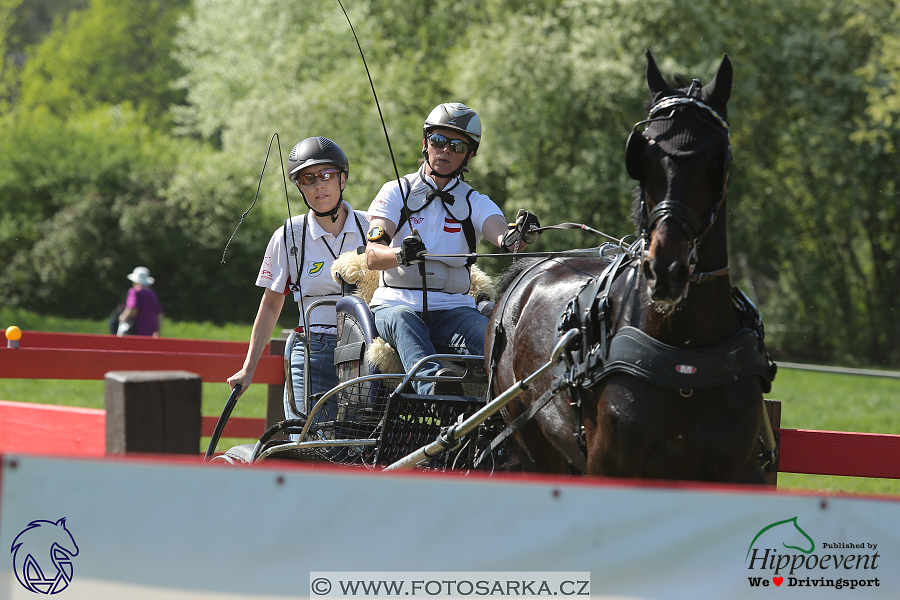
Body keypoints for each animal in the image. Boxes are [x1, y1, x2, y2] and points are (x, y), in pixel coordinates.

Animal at [488, 50, 776, 482]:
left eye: (718, 159)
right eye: (644, 156)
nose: (668, 269)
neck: (684, 351)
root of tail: (530, 269)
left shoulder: (736, 470)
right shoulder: (610, 467)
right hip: (532, 441)